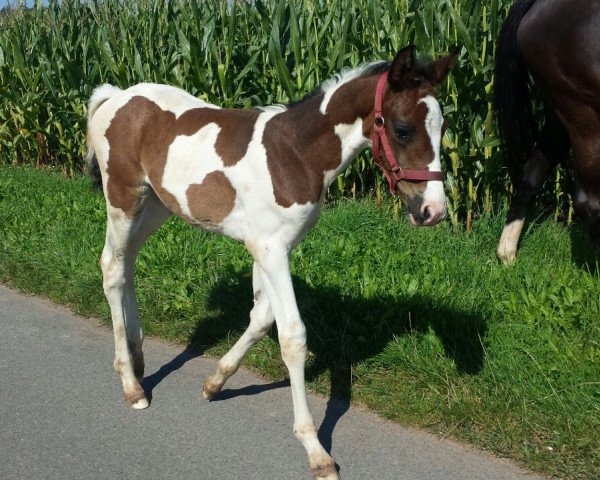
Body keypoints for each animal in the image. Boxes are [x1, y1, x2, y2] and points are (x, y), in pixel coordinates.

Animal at [88, 46, 454, 480]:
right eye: (402, 129)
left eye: (442, 127)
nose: (432, 211)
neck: (294, 154)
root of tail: (116, 97)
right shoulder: (270, 249)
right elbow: (293, 337)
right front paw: (316, 451)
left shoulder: (275, 247)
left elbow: (262, 319)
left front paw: (215, 382)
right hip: (123, 198)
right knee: (112, 268)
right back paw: (131, 385)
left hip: (158, 204)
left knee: (127, 262)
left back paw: (139, 356)